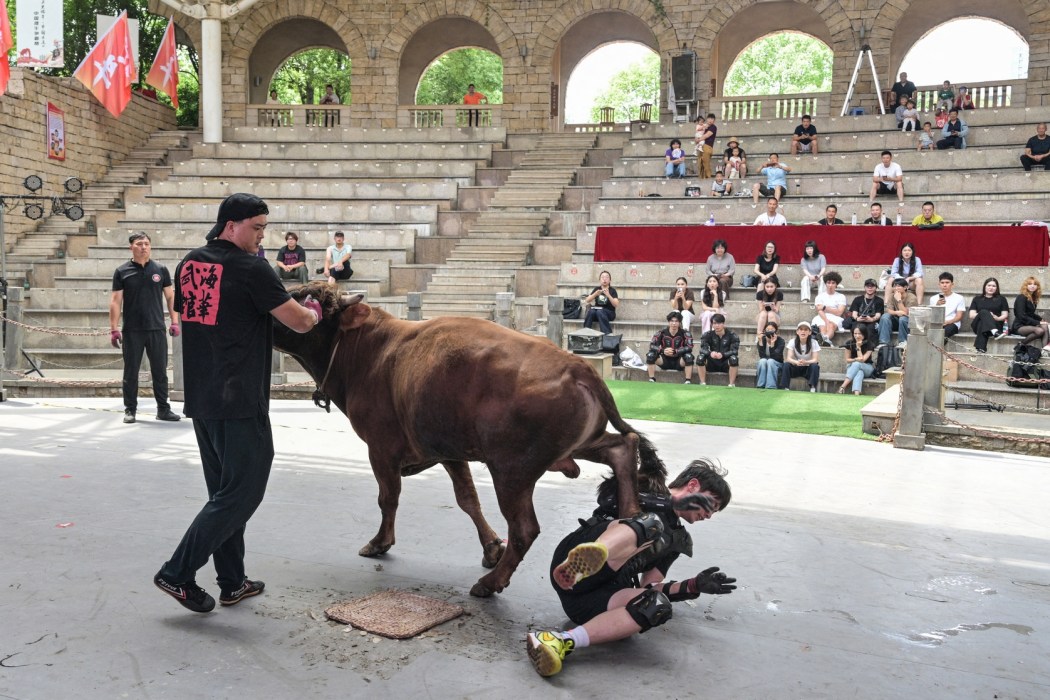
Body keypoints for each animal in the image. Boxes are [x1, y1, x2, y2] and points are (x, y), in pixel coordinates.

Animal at [272, 282, 668, 597]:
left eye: (303, 299)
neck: (365, 350)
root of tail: (580, 367)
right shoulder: (449, 450)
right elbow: (468, 499)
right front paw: (491, 546)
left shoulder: (381, 448)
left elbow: (388, 498)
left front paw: (380, 542)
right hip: (581, 444)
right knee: (623, 446)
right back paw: (631, 518)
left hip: (512, 470)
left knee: (525, 529)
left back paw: (491, 584)